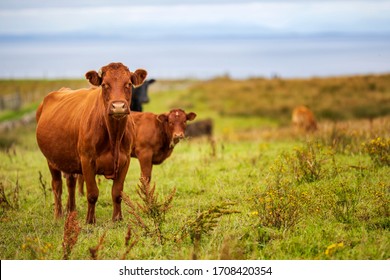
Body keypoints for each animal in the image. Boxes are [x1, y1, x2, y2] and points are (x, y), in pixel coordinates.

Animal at [35, 63, 148, 223]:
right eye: (104, 85)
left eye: (129, 84)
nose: (118, 106)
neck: (114, 136)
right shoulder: (87, 160)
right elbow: (92, 193)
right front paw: (90, 220)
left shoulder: (125, 160)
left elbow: (117, 192)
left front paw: (117, 218)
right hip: (51, 160)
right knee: (57, 186)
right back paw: (58, 215)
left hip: (68, 159)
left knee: (70, 182)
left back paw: (71, 210)